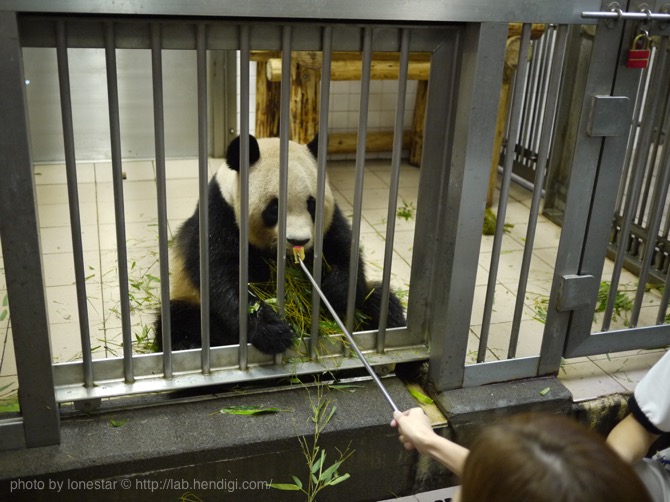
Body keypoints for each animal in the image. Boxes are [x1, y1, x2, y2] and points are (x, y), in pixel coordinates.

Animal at [155, 133, 406, 352]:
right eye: (274, 208)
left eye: (312, 204)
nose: (299, 241)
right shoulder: (218, 215)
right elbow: (221, 274)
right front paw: (272, 331)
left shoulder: (331, 221)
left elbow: (344, 251)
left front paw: (334, 292)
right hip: (190, 301)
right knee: (180, 321)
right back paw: (188, 345)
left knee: (379, 300)